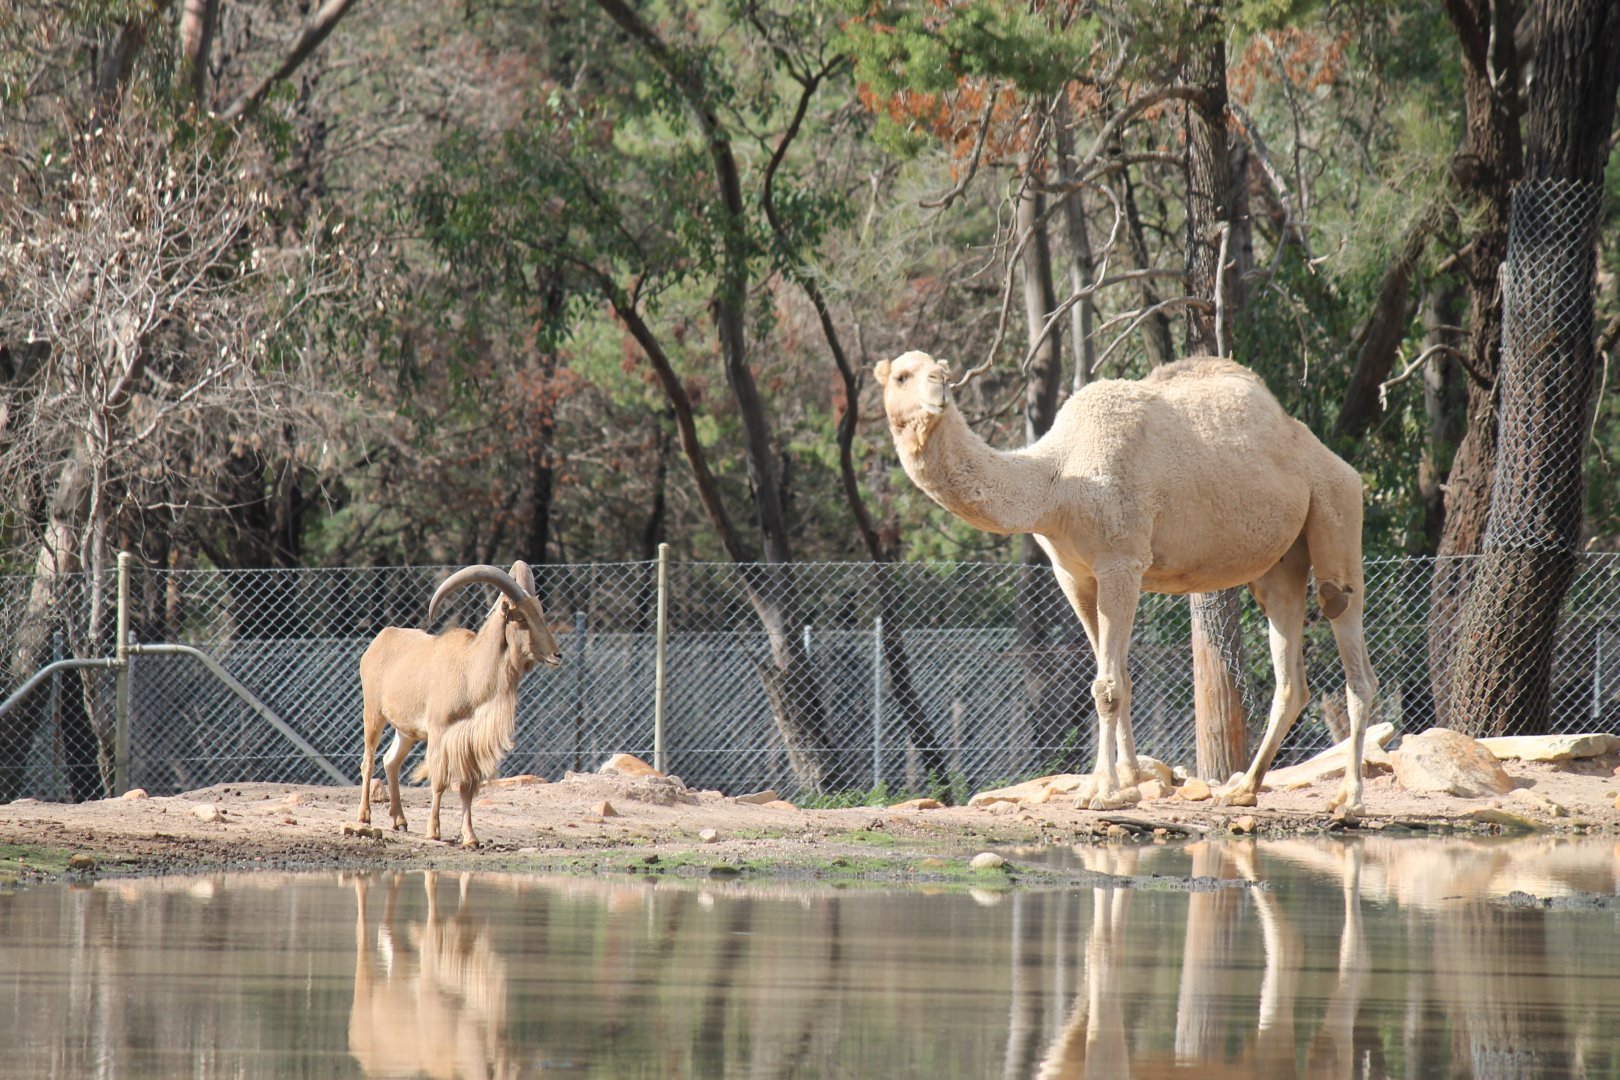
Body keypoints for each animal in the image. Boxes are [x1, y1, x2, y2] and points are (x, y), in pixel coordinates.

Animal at [356, 560, 561, 848]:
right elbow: (440, 781)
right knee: (369, 761)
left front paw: (471, 837)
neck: (471, 671)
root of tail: (381, 639)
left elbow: (466, 787)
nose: (556, 655)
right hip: (373, 712)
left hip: (406, 730)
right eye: (520, 617)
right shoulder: (440, 733)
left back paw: (400, 821)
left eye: (540, 612)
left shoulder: (469, 739)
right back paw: (364, 817)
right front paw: (434, 831)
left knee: (390, 761)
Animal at [875, 350, 1379, 813]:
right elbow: (1116, 680)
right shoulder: (1074, 575)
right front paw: (1126, 782)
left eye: (941, 373)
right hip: (1281, 563)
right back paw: (1243, 789)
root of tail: (1329, 456)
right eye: (901, 376)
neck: (1057, 479)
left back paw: (1349, 798)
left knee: (1344, 620)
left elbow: (1108, 686)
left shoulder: (1122, 562)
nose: (938, 390)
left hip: (1336, 502)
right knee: (1291, 671)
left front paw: (1105, 793)